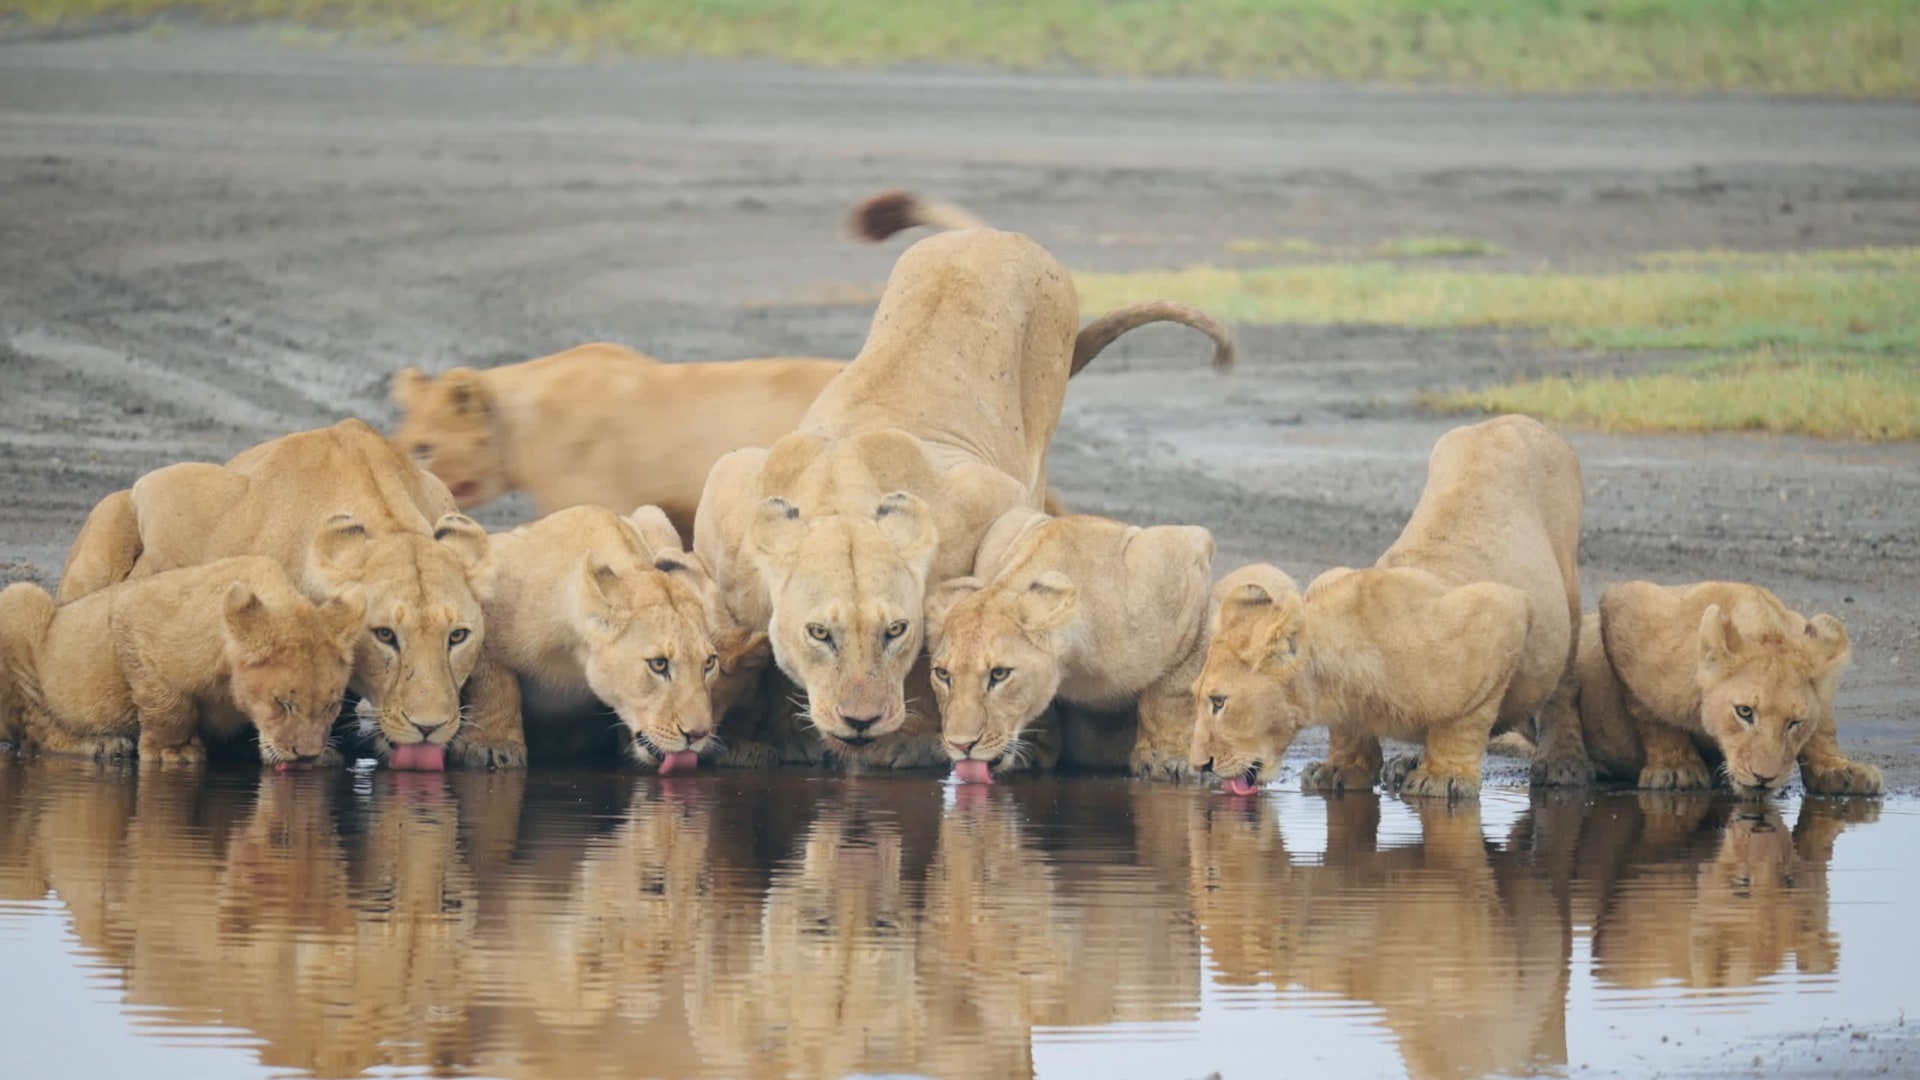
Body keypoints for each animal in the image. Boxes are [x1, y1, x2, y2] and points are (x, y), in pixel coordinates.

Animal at [0, 557, 363, 767]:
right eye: (283, 703)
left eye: (332, 705)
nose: (307, 756)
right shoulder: (134, 615)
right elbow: (169, 706)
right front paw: (172, 752)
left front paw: (328, 757)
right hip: (19, 600)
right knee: (35, 732)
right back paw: (102, 744)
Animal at [462, 503, 725, 772]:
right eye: (659, 664)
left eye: (709, 663)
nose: (699, 734)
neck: (574, 657)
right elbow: (494, 681)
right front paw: (495, 744)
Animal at [923, 508, 1214, 783]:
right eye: (943, 674)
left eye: (999, 674)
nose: (961, 744)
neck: (1073, 663)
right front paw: (1035, 749)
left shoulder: (1187, 554)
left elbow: (1172, 690)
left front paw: (1167, 759)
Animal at [1190, 414, 1585, 799]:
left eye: (1219, 701)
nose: (1200, 765)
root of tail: (1518, 419)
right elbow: (1346, 729)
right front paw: (1342, 767)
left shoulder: (1501, 610)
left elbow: (1463, 722)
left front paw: (1443, 775)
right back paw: (1404, 762)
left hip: (1567, 590)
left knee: (1563, 688)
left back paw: (1561, 762)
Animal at [1576, 581, 1879, 797]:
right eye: (1744, 711)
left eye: (1795, 722)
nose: (1764, 778)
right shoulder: (1625, 608)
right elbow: (1649, 710)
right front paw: (1676, 768)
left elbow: (1824, 726)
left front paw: (1840, 770)